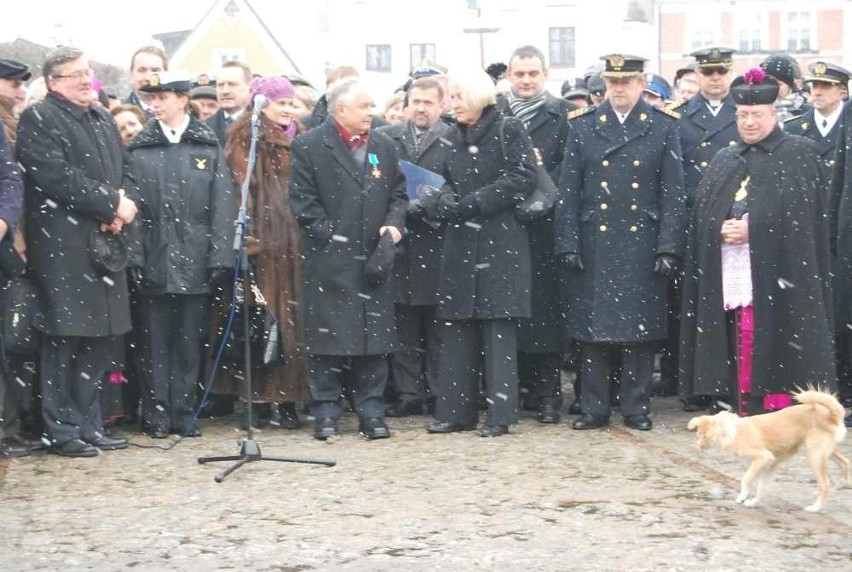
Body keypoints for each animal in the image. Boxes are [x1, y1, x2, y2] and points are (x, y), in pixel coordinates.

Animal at [688, 386, 848, 512]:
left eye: (700, 436)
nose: (698, 446)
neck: (731, 431)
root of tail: (830, 415)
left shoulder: (763, 458)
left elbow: (746, 479)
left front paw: (742, 496)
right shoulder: (770, 463)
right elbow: (761, 486)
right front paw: (754, 502)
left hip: (814, 455)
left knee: (825, 484)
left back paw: (816, 507)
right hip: (824, 452)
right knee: (846, 462)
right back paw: (844, 483)